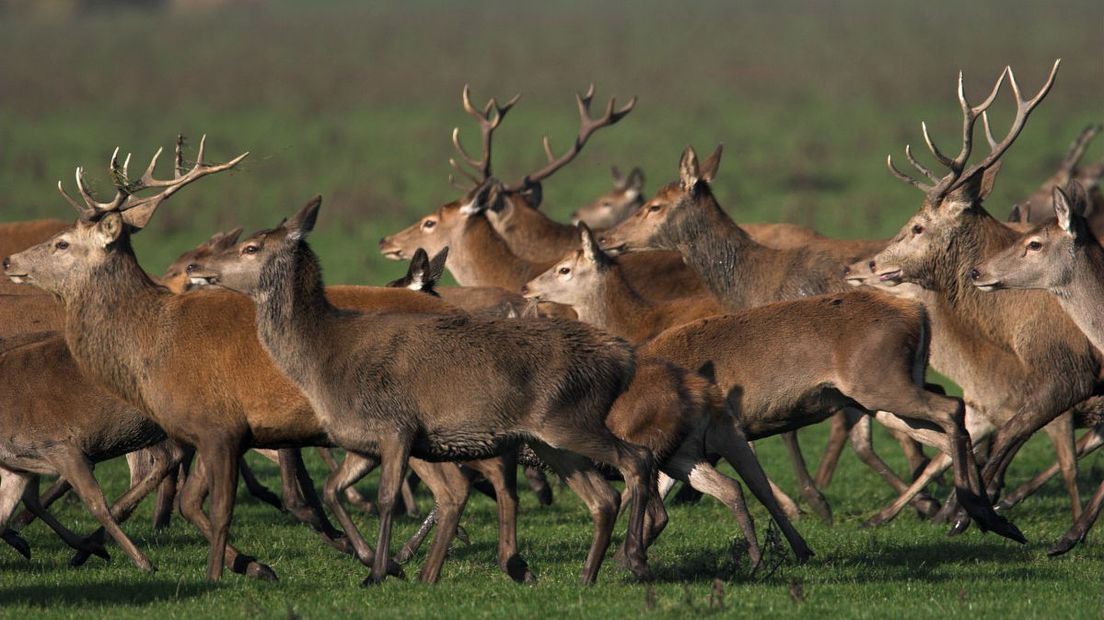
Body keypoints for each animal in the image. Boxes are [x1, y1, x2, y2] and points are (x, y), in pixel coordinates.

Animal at [861, 59, 1104, 531]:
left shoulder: (1069, 371)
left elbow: (1011, 433)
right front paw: (967, 504)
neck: (1009, 326)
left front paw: (970, 508)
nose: (873, 263)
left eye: (918, 226)